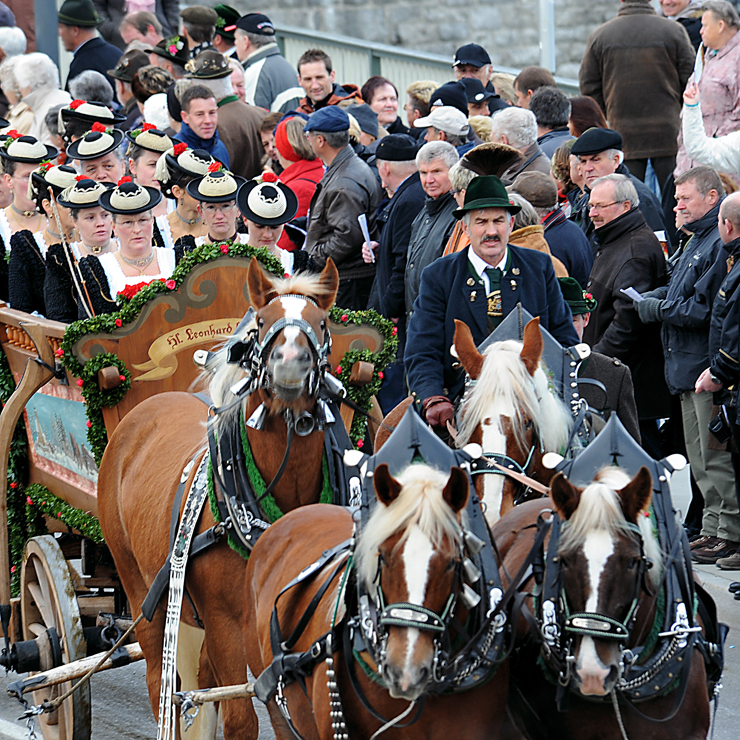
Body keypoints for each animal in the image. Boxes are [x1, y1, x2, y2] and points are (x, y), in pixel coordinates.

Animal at [96, 260, 342, 740]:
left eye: (322, 323)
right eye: (261, 322)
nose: (290, 364)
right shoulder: (227, 621)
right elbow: (242, 720)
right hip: (140, 589)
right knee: (159, 683)